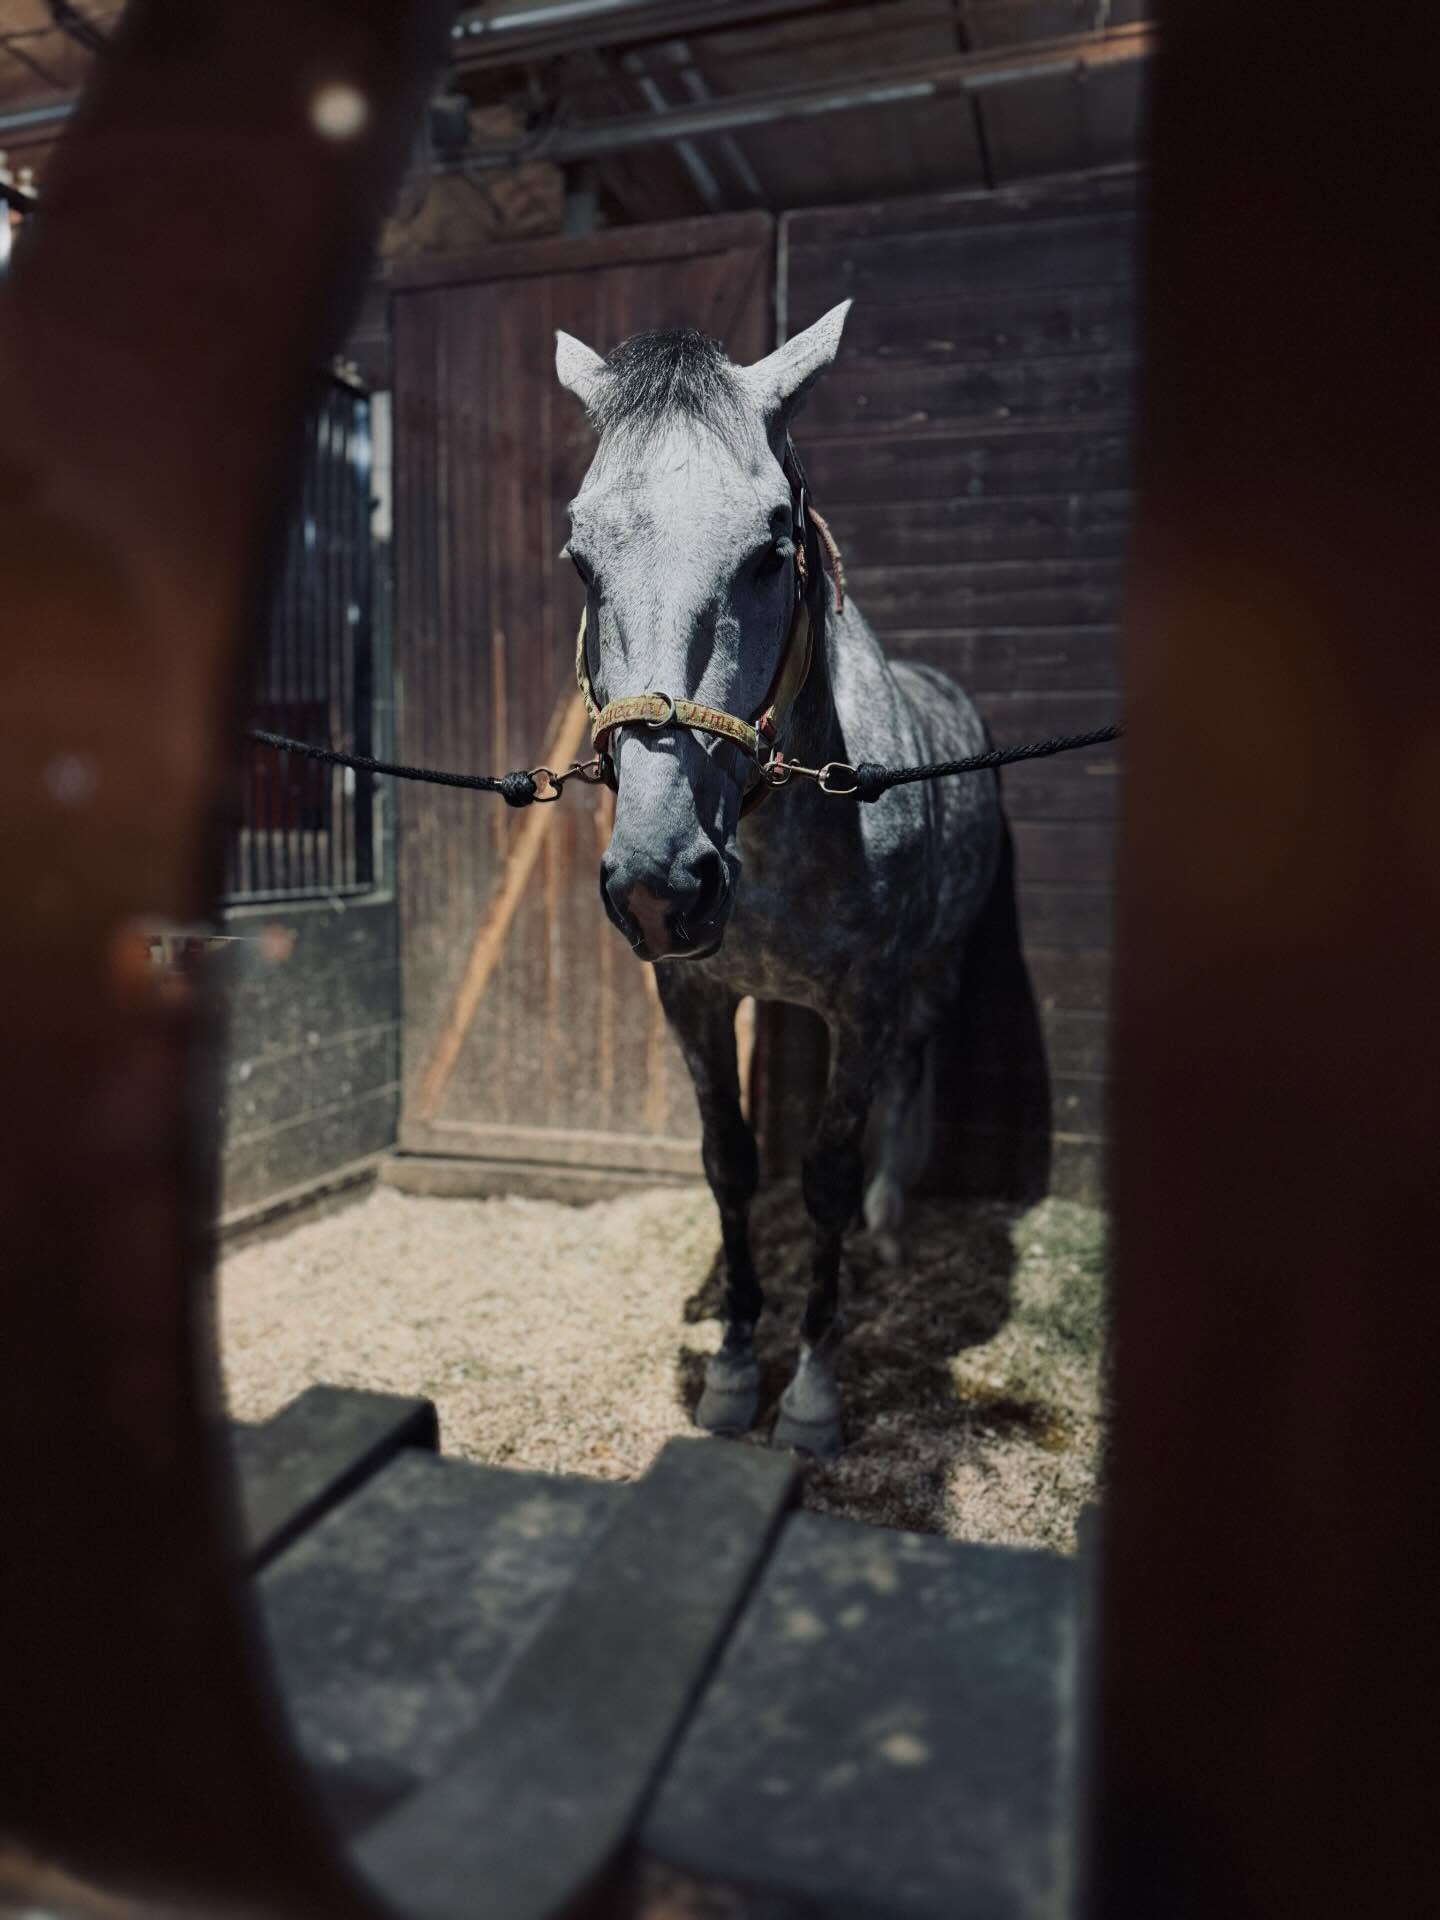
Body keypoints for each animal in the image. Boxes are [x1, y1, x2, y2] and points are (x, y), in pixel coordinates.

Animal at [554, 300, 1006, 1456]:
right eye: (579, 558)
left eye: (770, 550)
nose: (661, 881)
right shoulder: (695, 996)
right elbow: (732, 1166)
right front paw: (730, 1371)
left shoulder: (866, 1002)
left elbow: (827, 1176)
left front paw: (808, 1392)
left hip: (936, 973)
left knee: (915, 1068)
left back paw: (891, 1223)